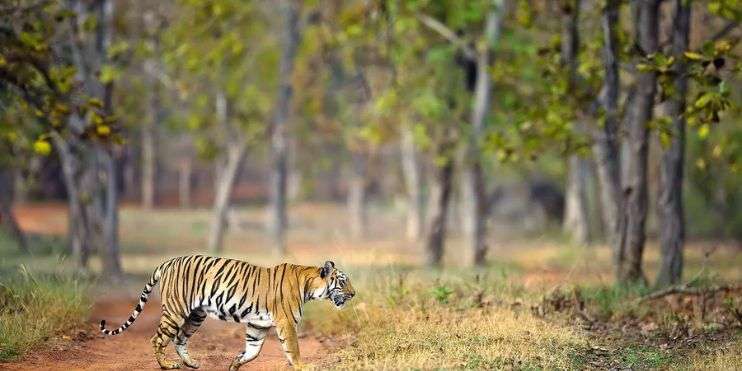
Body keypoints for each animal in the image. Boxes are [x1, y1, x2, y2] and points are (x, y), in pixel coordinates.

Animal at [99, 258, 358, 370]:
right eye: (343, 281)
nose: (354, 293)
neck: (308, 285)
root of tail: (168, 262)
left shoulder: (258, 325)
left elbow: (253, 351)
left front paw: (235, 364)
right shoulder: (286, 323)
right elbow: (293, 349)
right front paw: (302, 366)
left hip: (196, 316)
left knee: (179, 339)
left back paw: (191, 363)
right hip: (176, 310)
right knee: (158, 338)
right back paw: (167, 365)